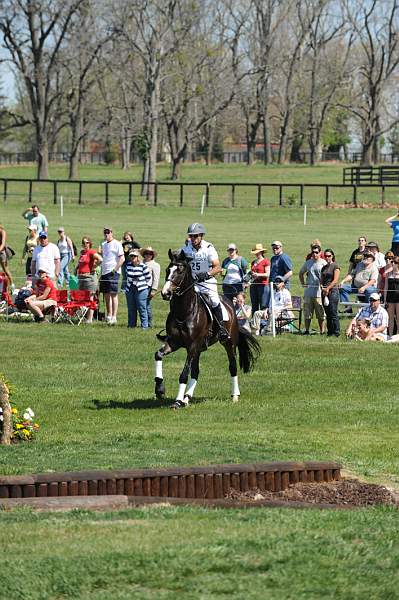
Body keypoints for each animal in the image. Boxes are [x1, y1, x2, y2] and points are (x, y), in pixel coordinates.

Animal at [154, 248, 262, 408]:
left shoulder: (192, 346)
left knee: (232, 366)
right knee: (196, 372)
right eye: (168, 270)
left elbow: (184, 374)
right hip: (199, 349)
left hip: (228, 343)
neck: (184, 312)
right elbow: (158, 355)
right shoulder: (174, 343)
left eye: (179, 271)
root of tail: (230, 304)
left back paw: (234, 395)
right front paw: (160, 389)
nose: (165, 293)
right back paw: (187, 397)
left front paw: (177, 401)